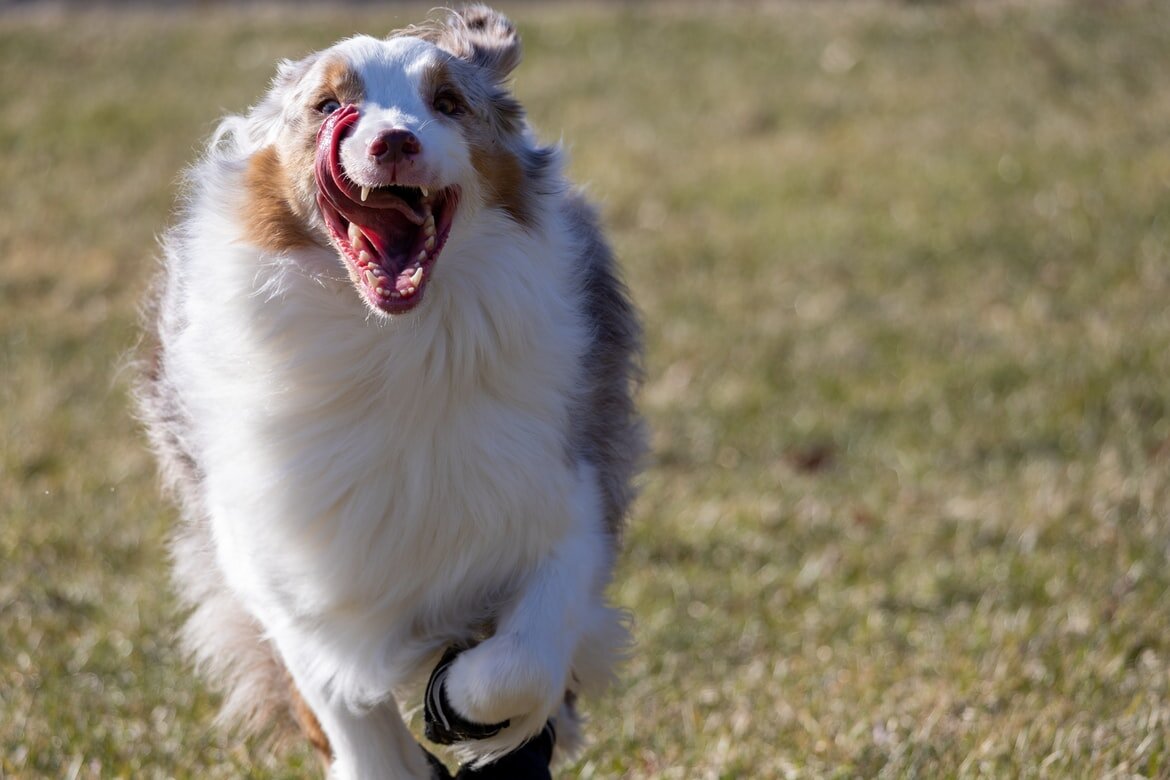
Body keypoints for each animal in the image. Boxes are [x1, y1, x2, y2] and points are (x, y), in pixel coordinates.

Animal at [142, 7, 650, 780]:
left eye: (447, 102)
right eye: (327, 106)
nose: (393, 140)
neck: (395, 347)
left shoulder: (569, 497)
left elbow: (520, 663)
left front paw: (466, 705)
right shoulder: (276, 561)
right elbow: (348, 714)